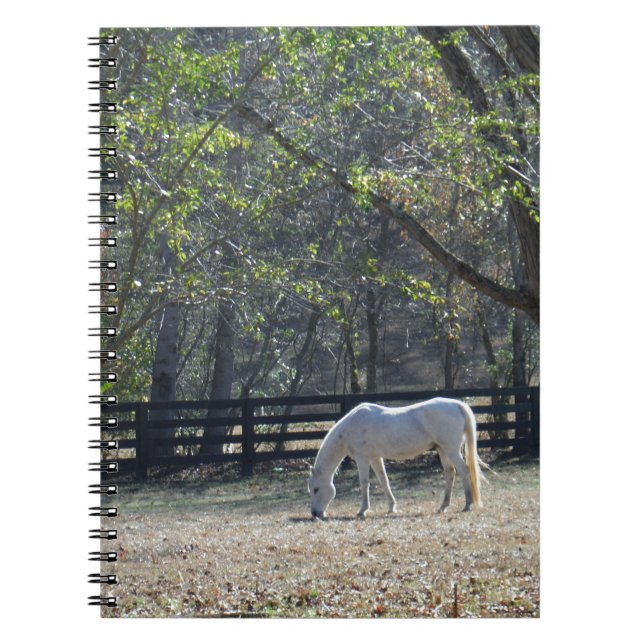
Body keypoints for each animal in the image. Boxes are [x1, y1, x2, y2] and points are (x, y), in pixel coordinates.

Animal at [308, 397, 488, 519]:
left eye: (316, 489)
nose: (315, 514)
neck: (352, 426)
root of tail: (457, 405)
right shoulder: (375, 458)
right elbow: (384, 481)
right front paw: (391, 507)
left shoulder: (362, 458)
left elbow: (364, 483)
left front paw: (362, 510)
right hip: (443, 450)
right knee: (450, 473)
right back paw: (443, 506)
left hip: (451, 450)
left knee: (464, 471)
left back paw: (467, 504)